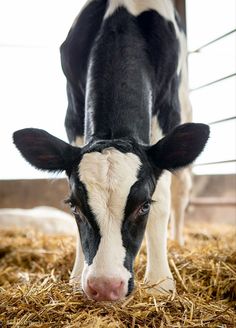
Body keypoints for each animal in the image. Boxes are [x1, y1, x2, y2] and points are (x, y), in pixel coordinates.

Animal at [13, 0, 208, 302]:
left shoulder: (166, 112)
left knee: (181, 190)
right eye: (74, 205)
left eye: (144, 205)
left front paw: (160, 282)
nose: (105, 286)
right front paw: (75, 276)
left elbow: (163, 199)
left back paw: (177, 240)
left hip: (184, 105)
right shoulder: (73, 111)